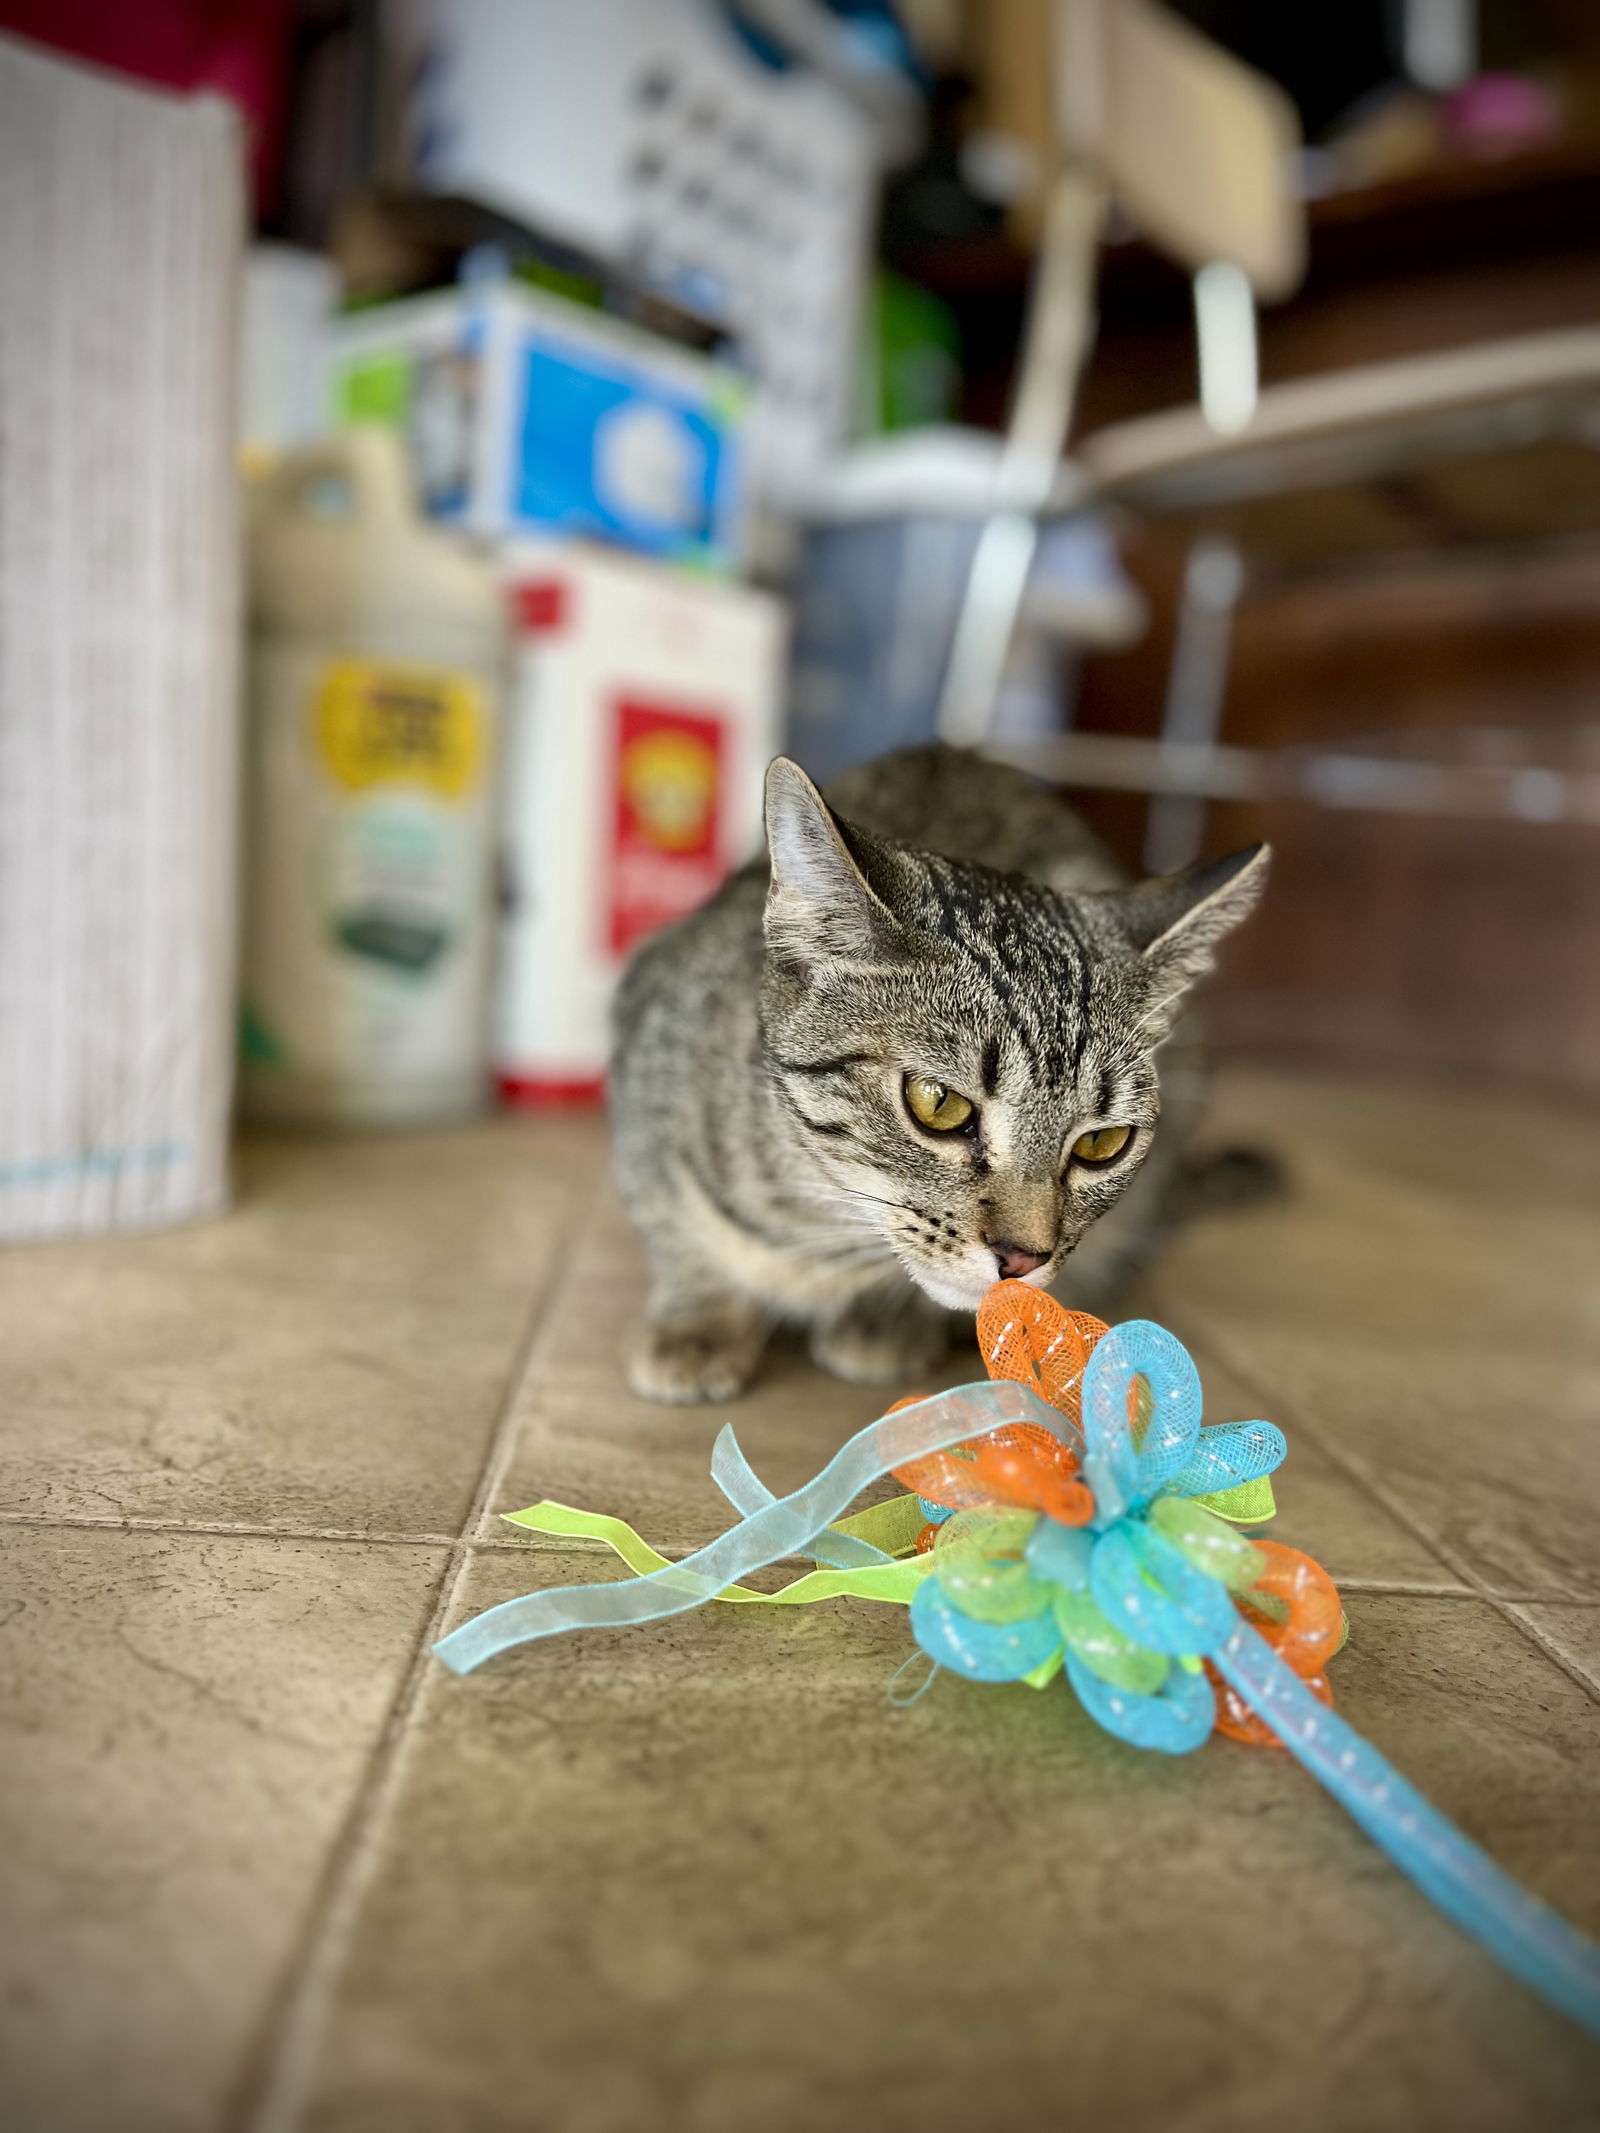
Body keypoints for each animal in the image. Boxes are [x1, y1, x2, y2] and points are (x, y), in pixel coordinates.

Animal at [605, 742, 1271, 1407]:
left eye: (1102, 1143)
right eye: (939, 1103)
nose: (1023, 1259)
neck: (823, 1224)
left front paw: (888, 1321)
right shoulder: (643, 1080)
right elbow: (676, 1225)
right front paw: (698, 1319)